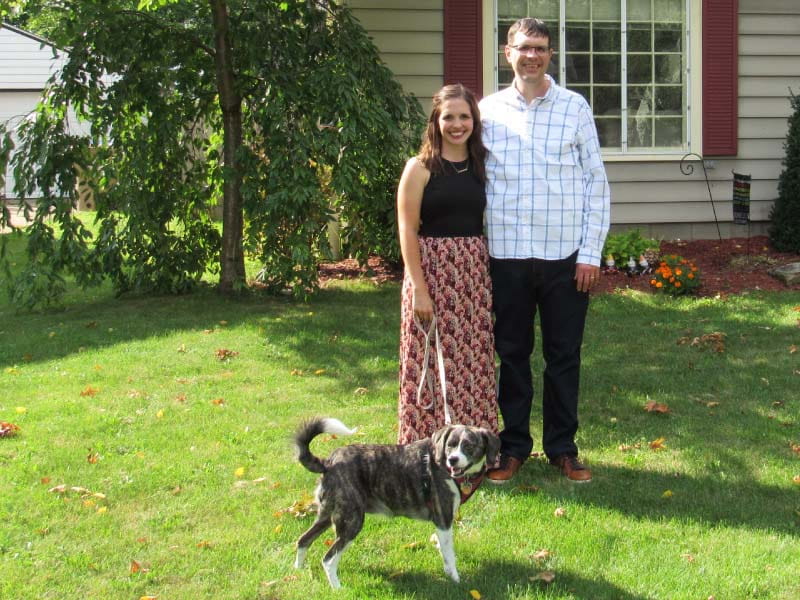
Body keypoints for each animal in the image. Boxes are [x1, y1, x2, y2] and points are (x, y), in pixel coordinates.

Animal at [290, 420, 496, 588]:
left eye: (468, 446)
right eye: (450, 445)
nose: (452, 460)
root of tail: (329, 463)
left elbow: (445, 552)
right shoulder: (443, 520)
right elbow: (449, 554)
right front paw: (456, 580)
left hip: (326, 514)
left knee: (303, 540)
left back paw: (298, 570)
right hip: (351, 521)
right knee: (328, 559)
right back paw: (338, 589)